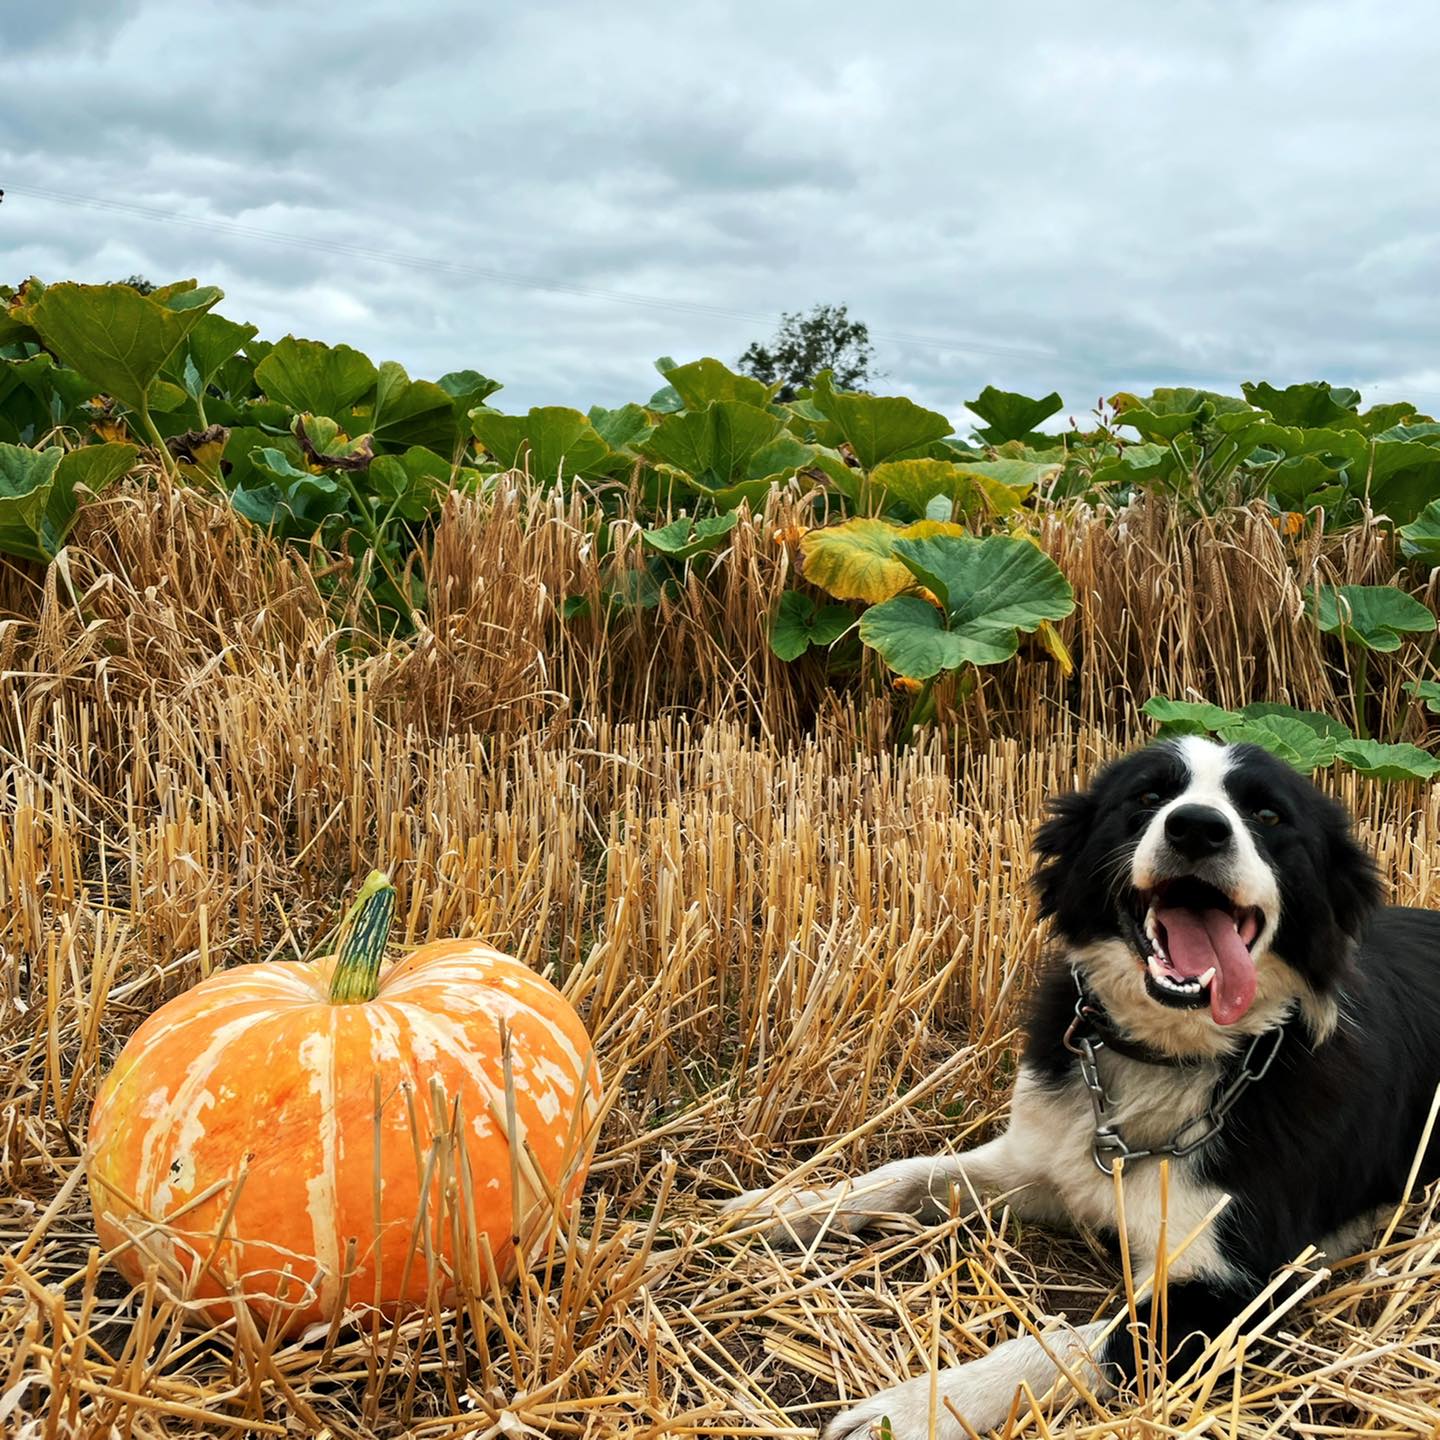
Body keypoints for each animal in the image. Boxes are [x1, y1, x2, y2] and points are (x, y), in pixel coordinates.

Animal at [723, 736, 1440, 1439]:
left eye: (1268, 814)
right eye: (1147, 796)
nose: (1196, 828)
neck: (1172, 1057)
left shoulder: (1237, 1291)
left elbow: (1060, 1344)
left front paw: (914, 1410)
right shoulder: (1045, 1161)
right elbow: (905, 1173)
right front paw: (783, 1206)